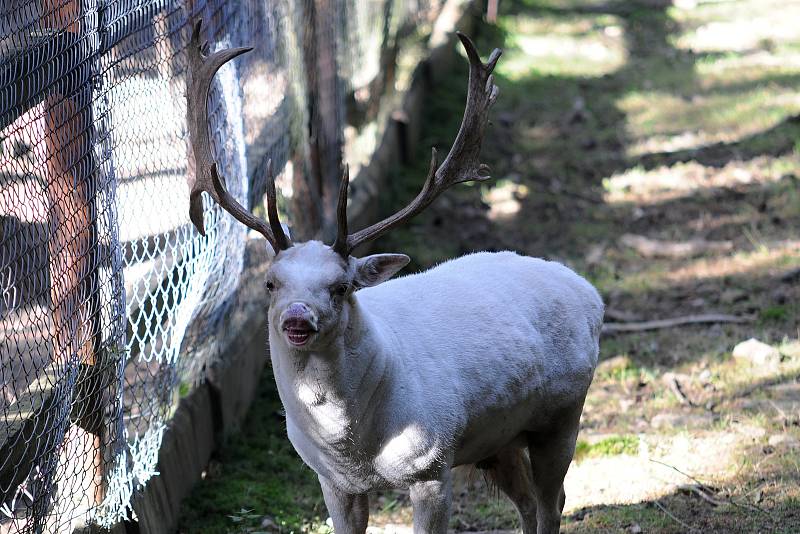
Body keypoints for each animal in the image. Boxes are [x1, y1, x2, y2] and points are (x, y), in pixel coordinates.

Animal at [186, 19, 600, 534]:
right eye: (271, 283)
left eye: (341, 287)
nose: (297, 318)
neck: (358, 451)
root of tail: (589, 292)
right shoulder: (332, 482)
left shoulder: (433, 466)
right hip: (497, 438)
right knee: (526, 500)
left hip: (563, 413)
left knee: (552, 499)